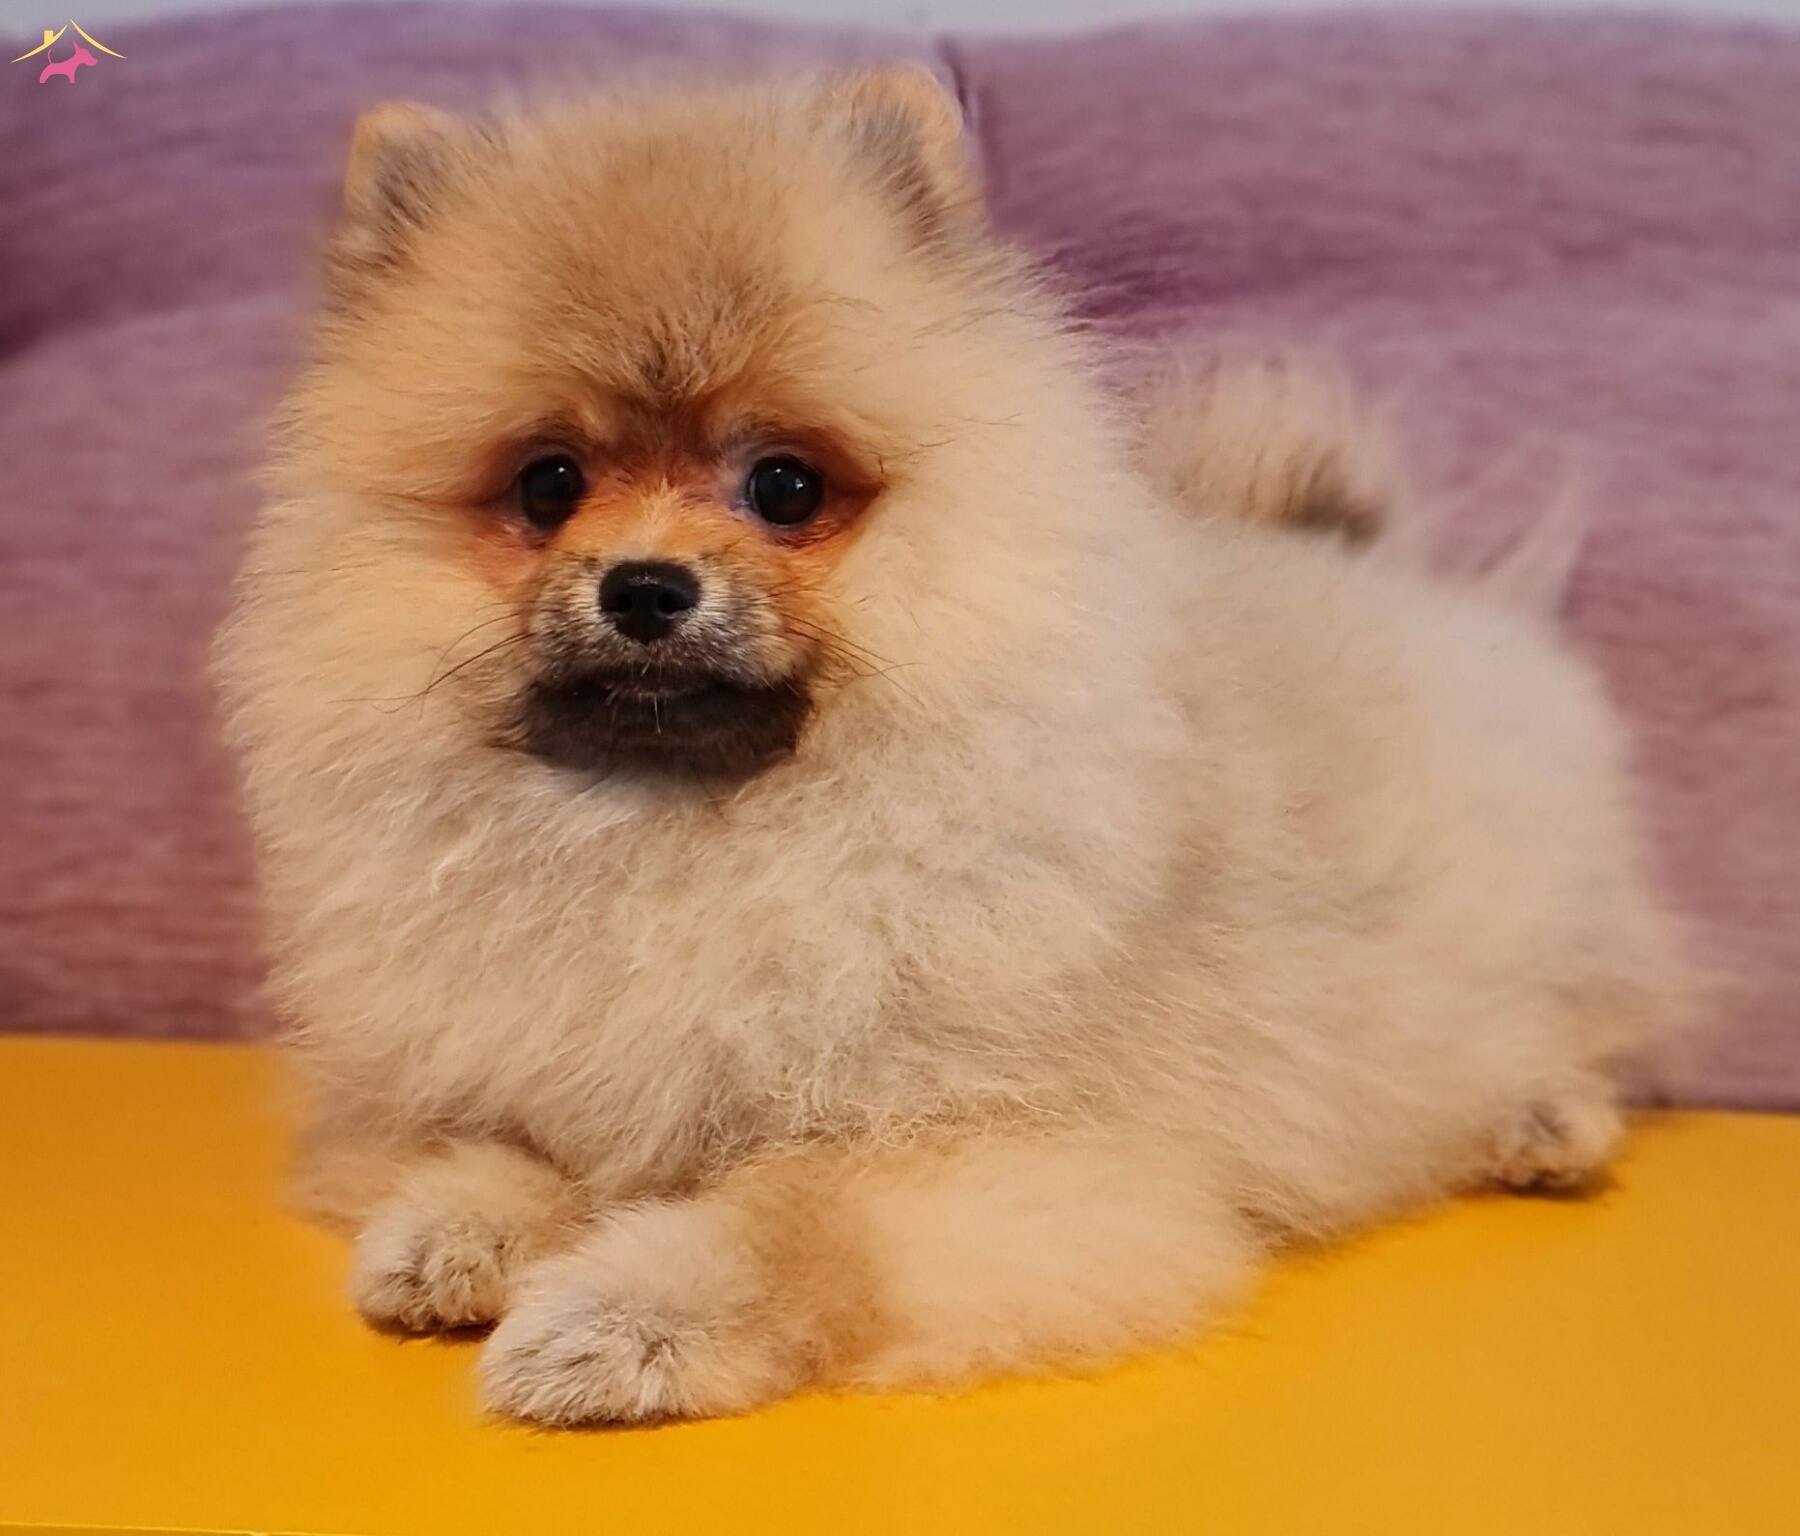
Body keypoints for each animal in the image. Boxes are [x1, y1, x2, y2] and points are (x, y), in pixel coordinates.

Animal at [214, 70, 1684, 1424]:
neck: (690, 835)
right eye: (548, 485)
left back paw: (1544, 1119)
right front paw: (457, 1226)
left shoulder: (1032, 1162)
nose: (644, 587)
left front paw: (619, 1321)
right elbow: (509, 1147)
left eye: (784, 487)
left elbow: (795, 1227)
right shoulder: (530, 1070)